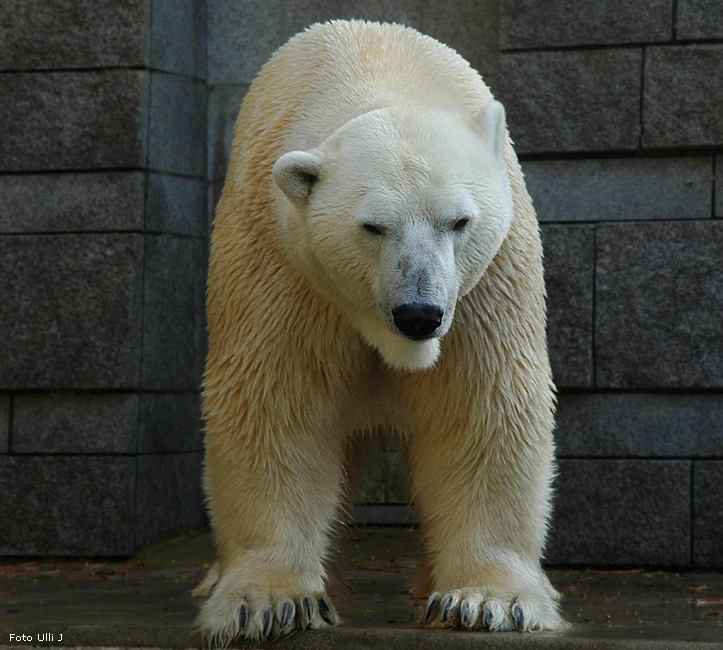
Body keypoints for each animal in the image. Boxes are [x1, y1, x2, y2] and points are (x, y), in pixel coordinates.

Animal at [197, 19, 564, 644]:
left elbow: (482, 409)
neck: (375, 68)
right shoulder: (286, 267)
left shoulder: (484, 287)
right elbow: (275, 404)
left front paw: (486, 600)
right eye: (372, 226)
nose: (418, 314)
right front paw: (269, 602)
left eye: (459, 220)